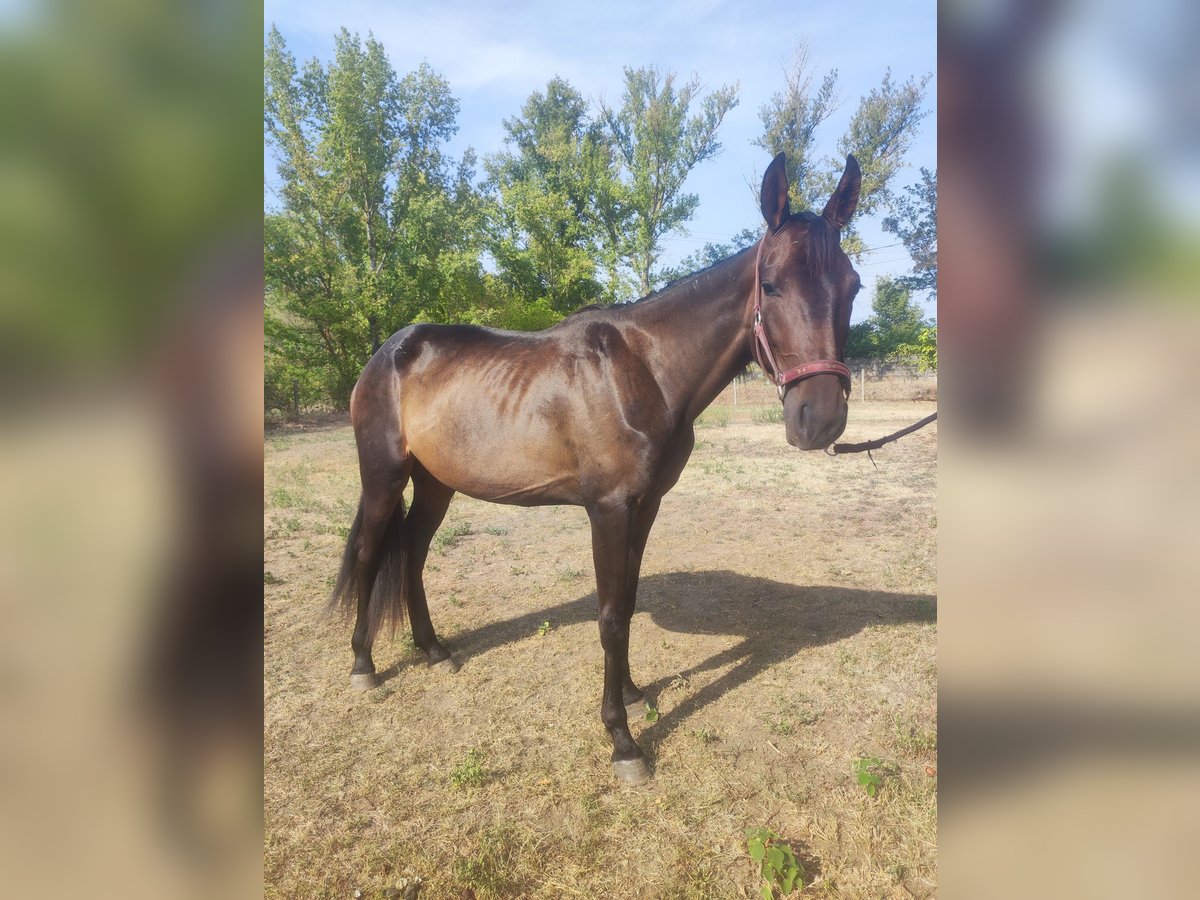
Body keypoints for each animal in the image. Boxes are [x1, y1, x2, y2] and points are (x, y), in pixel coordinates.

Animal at [328, 151, 864, 787]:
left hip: (437, 483)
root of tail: (389, 351)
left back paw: (434, 650)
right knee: (370, 554)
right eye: (772, 285)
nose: (819, 419)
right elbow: (609, 615)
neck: (644, 371)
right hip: (384, 477)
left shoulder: (645, 506)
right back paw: (363, 665)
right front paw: (623, 741)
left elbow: (627, 602)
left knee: (412, 550)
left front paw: (632, 693)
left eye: (853, 285)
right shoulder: (607, 509)